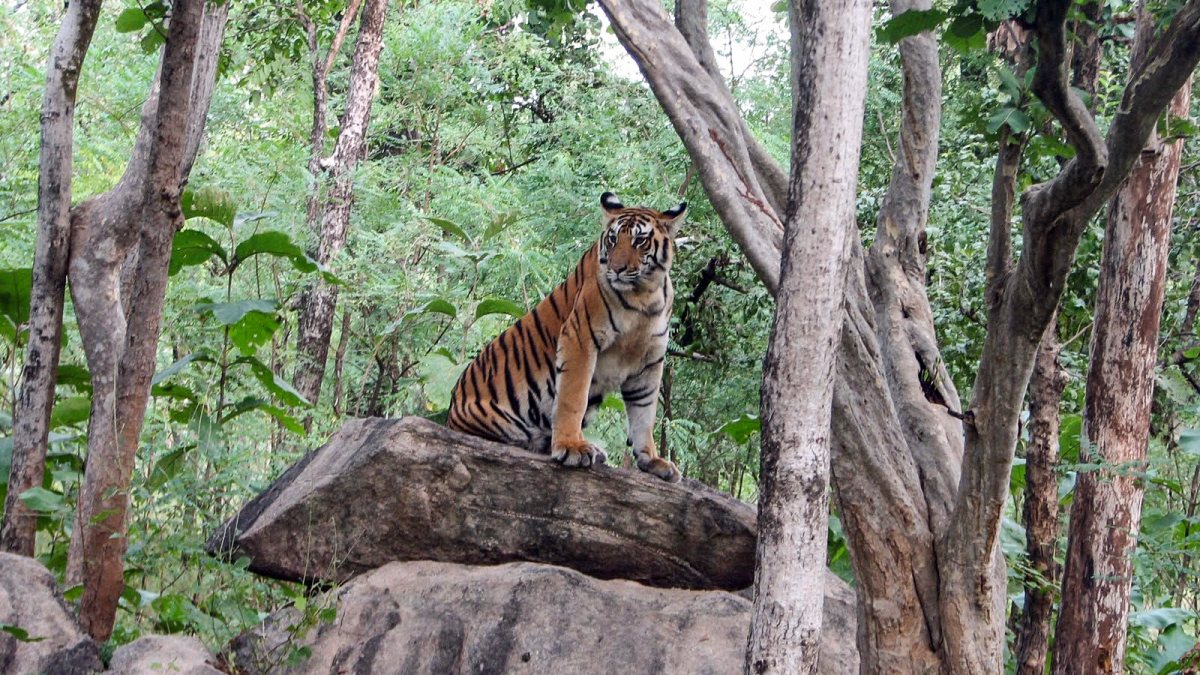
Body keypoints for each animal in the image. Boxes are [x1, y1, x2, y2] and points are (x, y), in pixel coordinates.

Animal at [447, 191, 686, 483]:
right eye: (612, 239)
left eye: (640, 241)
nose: (617, 269)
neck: (644, 296)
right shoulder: (581, 337)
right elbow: (573, 397)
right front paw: (572, 447)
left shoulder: (650, 359)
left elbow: (644, 413)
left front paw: (652, 460)